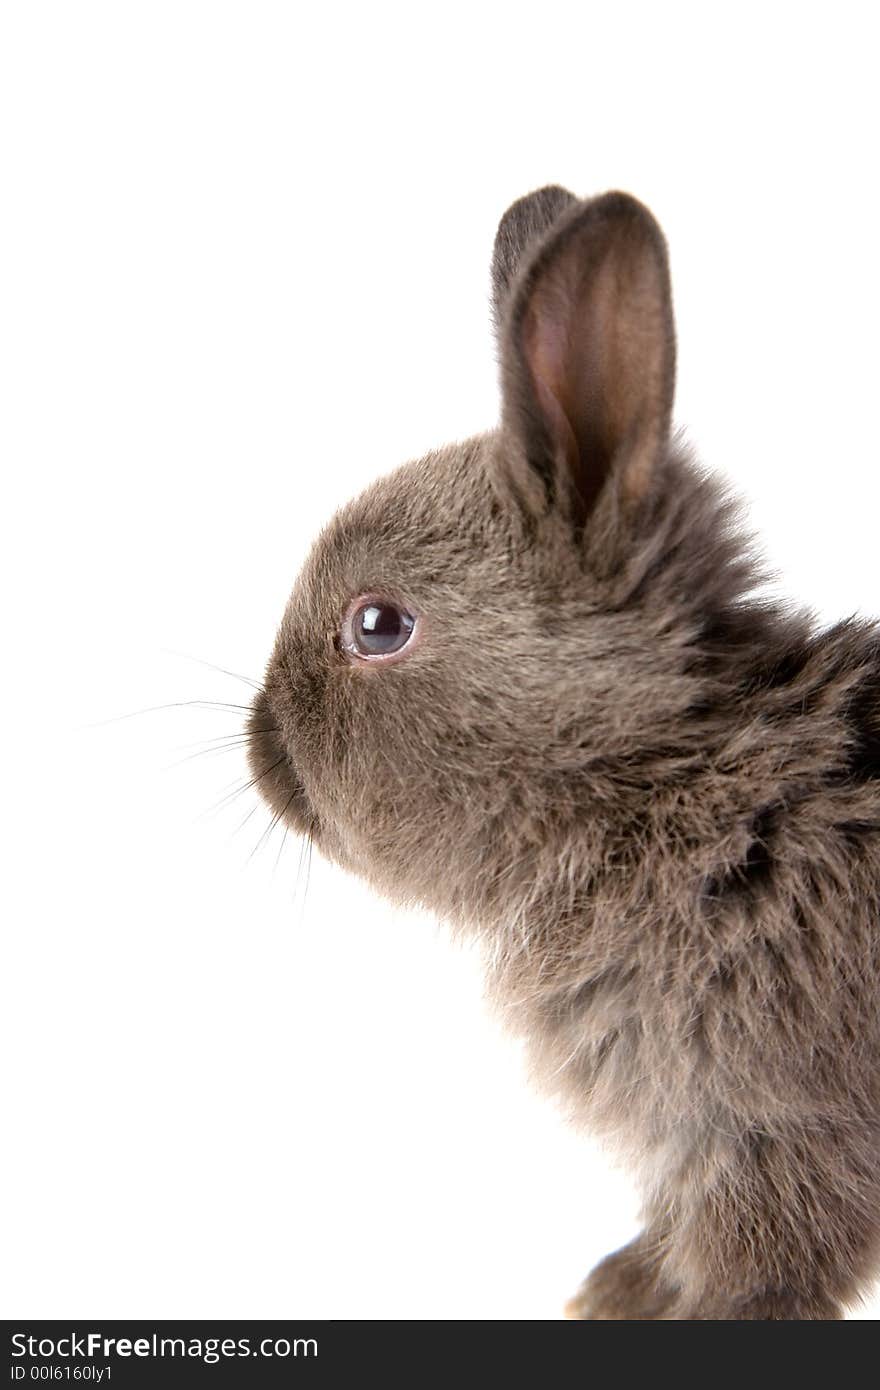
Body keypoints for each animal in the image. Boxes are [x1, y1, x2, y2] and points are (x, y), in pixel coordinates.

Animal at [246, 187, 878, 1323]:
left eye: (377, 625)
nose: (259, 748)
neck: (669, 778)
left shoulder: (782, 1141)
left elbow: (754, 1271)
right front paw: (619, 1289)